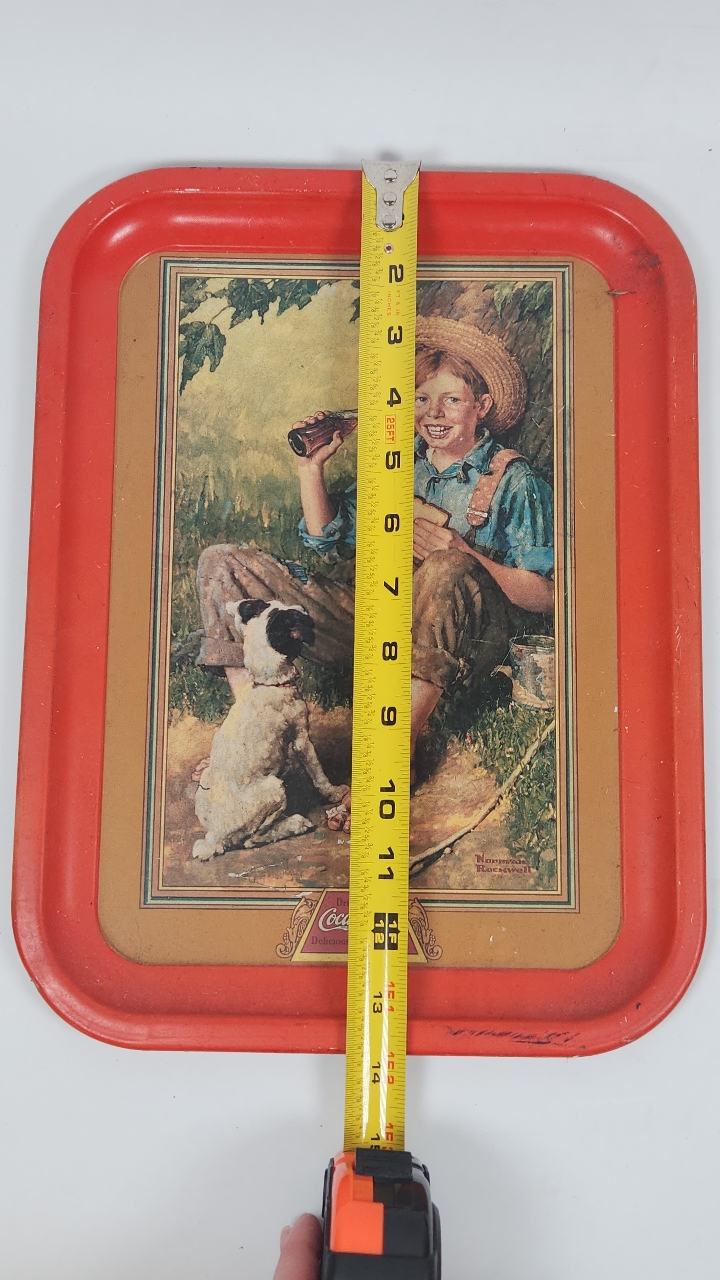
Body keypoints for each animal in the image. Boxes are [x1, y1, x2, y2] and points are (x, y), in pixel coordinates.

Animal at [192, 598, 348, 861]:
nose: (302, 608)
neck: (267, 684)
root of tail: (213, 837)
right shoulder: (302, 739)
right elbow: (318, 774)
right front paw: (335, 793)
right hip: (274, 790)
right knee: (251, 840)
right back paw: (296, 824)